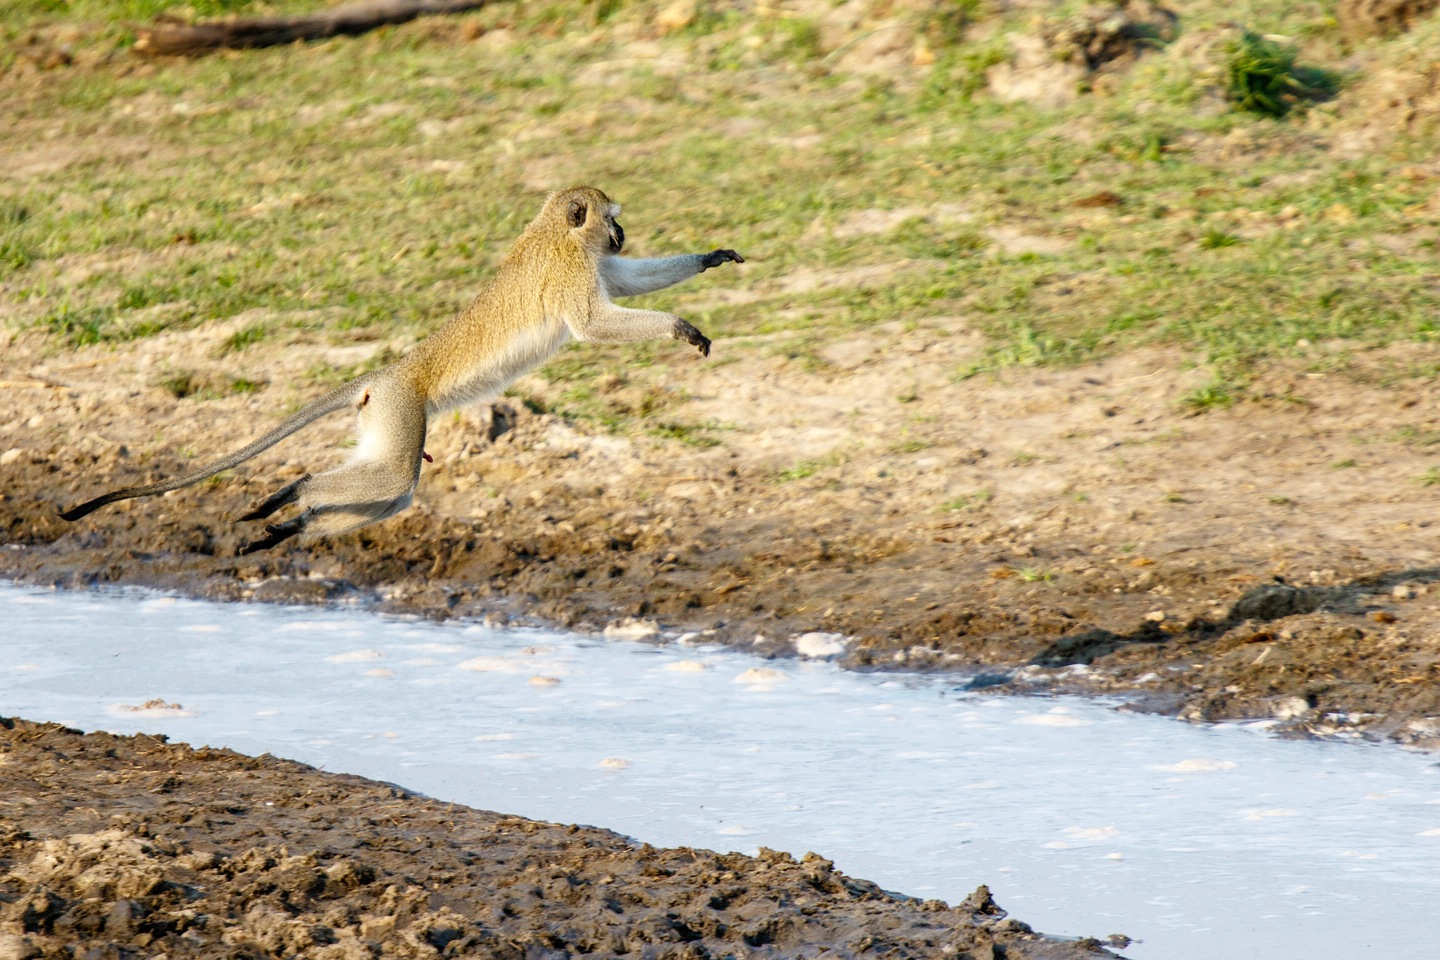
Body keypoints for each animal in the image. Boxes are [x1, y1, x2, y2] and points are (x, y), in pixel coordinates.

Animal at [59, 185, 743, 555]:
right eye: (610, 216)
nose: (621, 233)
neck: (556, 234)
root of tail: (383, 377)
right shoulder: (574, 272)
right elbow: (596, 324)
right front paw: (681, 327)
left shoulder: (593, 264)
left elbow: (628, 282)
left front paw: (709, 257)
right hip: (400, 409)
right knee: (392, 479)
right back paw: (296, 493)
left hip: (383, 419)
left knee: (391, 490)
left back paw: (291, 523)